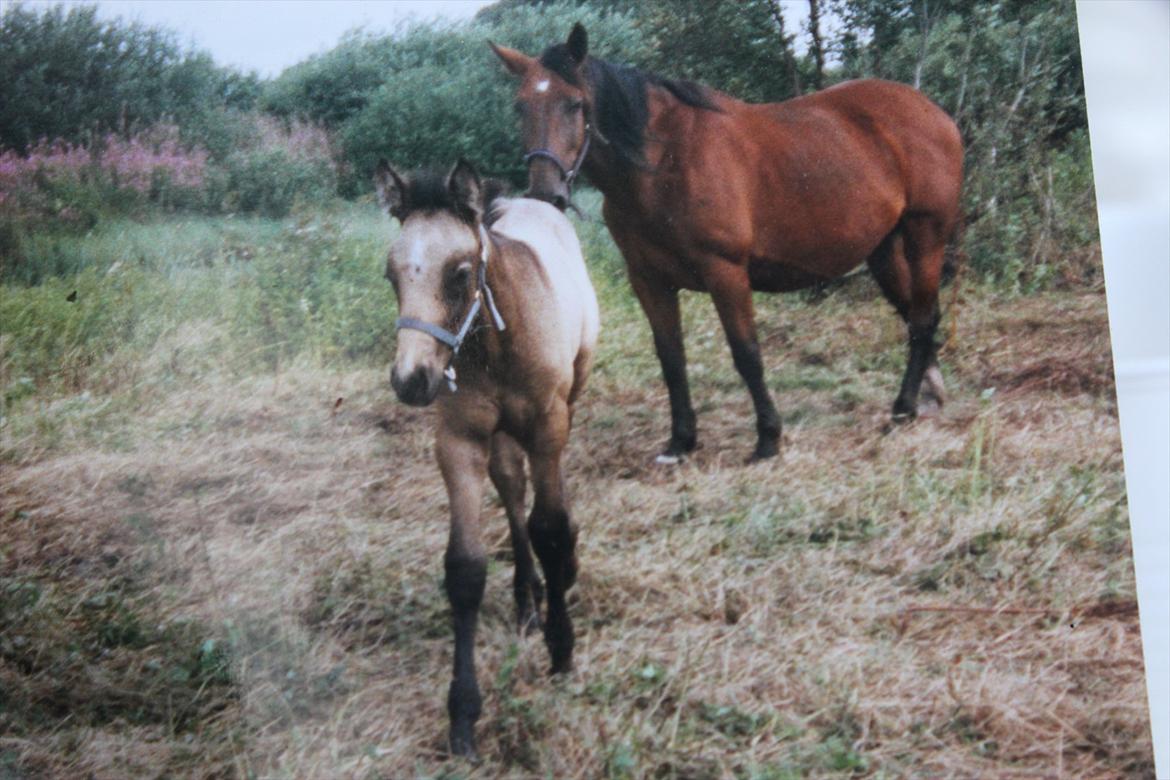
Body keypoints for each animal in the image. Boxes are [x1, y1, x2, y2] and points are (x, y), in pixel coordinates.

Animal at [376, 156, 599, 757]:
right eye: (391, 274)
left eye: (458, 273)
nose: (412, 380)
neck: (500, 339)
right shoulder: (458, 441)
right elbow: (465, 566)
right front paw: (462, 714)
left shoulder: (548, 425)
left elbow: (549, 528)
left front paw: (562, 649)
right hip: (499, 436)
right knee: (511, 484)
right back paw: (526, 598)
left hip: (572, 392)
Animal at [491, 24, 959, 463]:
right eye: (519, 106)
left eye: (575, 103)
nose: (546, 193)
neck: (663, 163)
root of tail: (933, 112)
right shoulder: (649, 281)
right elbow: (671, 359)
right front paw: (680, 442)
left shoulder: (725, 272)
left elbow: (747, 353)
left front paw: (768, 438)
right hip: (883, 249)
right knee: (917, 317)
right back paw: (926, 398)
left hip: (926, 235)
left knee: (921, 320)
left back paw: (902, 408)